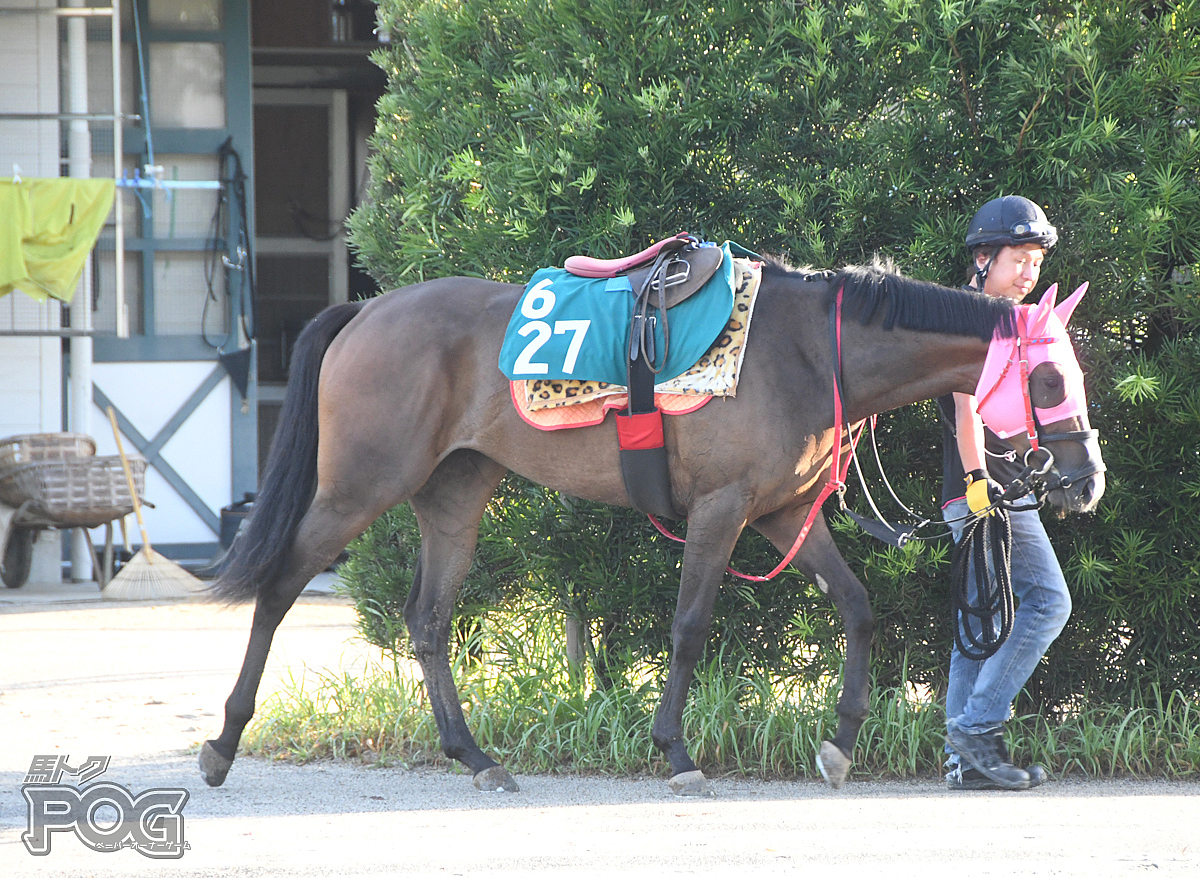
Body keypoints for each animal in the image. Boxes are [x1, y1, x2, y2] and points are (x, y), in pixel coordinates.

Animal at [199, 259, 1104, 796]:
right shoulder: (722, 509)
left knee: (428, 620)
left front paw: (841, 742)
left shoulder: (780, 512)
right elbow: (691, 626)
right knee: (280, 586)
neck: (810, 353)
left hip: (453, 494)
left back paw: (476, 756)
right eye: (1050, 378)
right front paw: (676, 751)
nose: (1084, 478)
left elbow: (856, 607)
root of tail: (363, 313)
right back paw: (223, 741)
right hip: (358, 485)